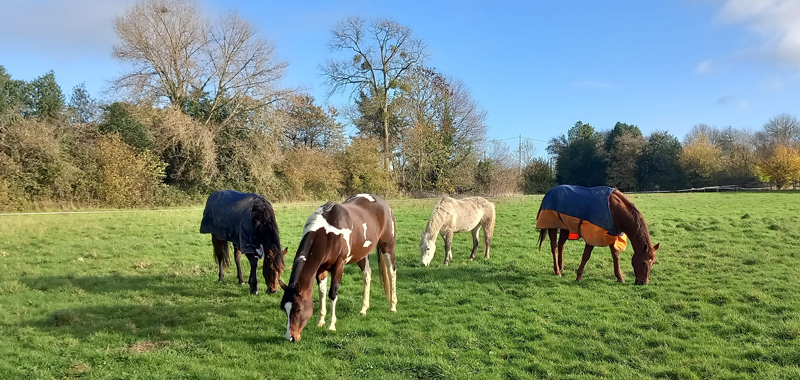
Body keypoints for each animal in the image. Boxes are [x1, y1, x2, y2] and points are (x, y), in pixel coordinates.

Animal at [280, 193, 398, 342]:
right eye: (284, 309)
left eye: (298, 309)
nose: (290, 337)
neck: (326, 235)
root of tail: (384, 203)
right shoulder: (321, 269)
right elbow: (322, 292)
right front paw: (320, 321)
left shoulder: (338, 266)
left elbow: (332, 294)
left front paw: (331, 325)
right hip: (362, 253)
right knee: (367, 275)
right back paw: (363, 309)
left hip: (387, 246)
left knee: (392, 272)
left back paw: (393, 306)